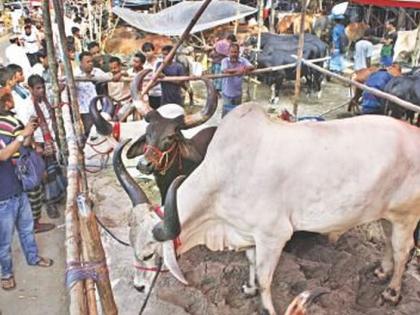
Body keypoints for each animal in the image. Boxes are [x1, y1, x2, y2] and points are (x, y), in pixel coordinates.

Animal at [113, 105, 420, 315]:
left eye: (149, 254)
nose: (139, 286)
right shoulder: (247, 233)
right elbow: (251, 262)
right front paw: (248, 288)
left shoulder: (273, 236)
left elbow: (265, 278)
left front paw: (266, 306)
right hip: (386, 214)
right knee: (389, 242)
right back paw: (382, 271)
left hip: (406, 216)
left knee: (403, 250)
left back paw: (392, 292)